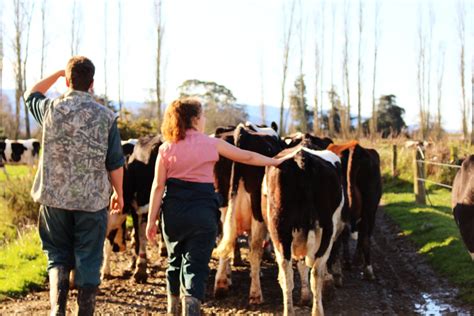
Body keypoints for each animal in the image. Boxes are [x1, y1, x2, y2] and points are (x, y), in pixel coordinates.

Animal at [262, 143, 344, 316]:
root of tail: (302, 158)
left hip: (279, 230)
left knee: (287, 274)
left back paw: (289, 311)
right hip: (327, 230)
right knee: (316, 272)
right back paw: (317, 310)